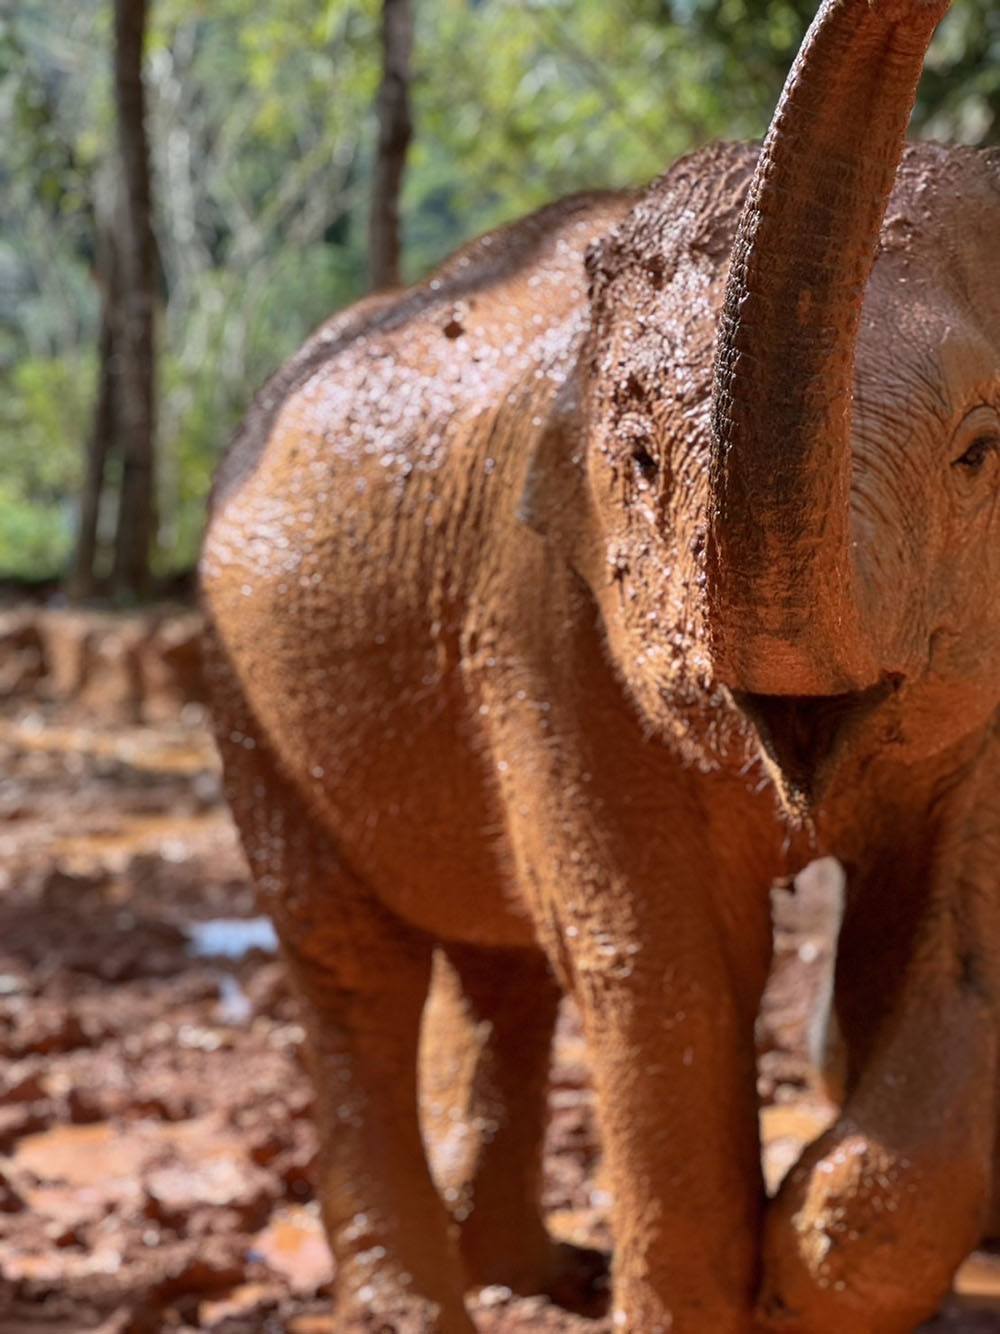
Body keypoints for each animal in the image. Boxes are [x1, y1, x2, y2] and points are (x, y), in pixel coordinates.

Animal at [200, 0, 1000, 1328]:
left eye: (980, 451)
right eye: (638, 459)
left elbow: (954, 937)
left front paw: (797, 1271)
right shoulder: (536, 611)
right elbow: (662, 957)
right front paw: (736, 1294)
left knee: (502, 967)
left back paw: (531, 1272)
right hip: (241, 695)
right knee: (355, 967)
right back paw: (424, 1299)